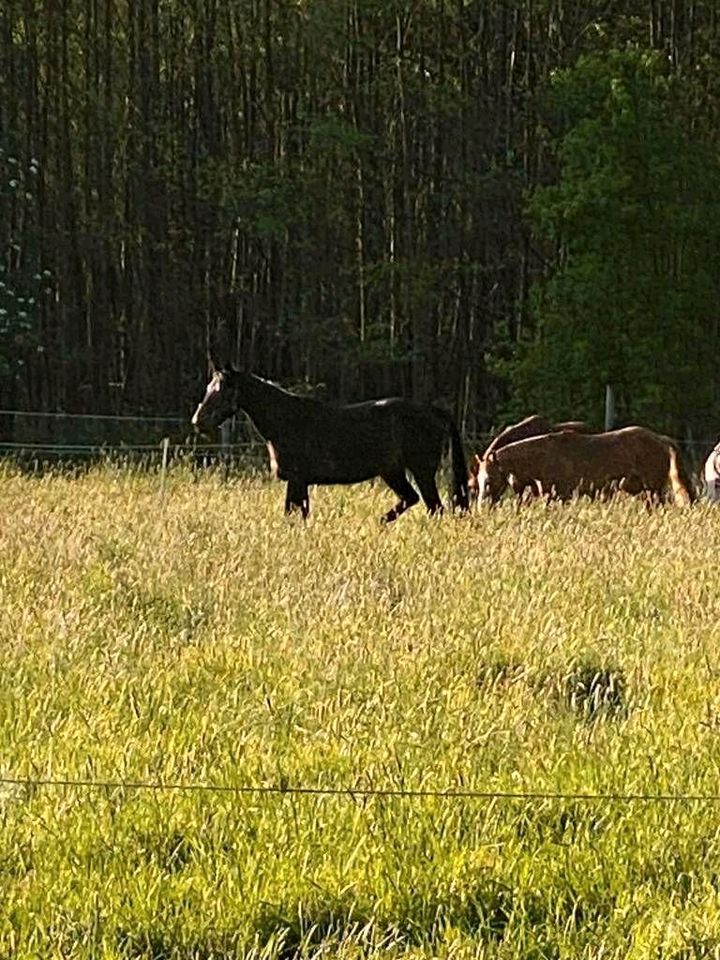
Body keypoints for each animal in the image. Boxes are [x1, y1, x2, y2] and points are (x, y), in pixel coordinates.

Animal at [191, 364, 470, 520]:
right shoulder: (297, 482)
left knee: (435, 508)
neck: (287, 421)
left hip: (421, 471)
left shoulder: (298, 480)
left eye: (222, 390)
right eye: (209, 388)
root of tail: (433, 411)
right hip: (393, 471)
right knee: (412, 500)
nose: (198, 421)